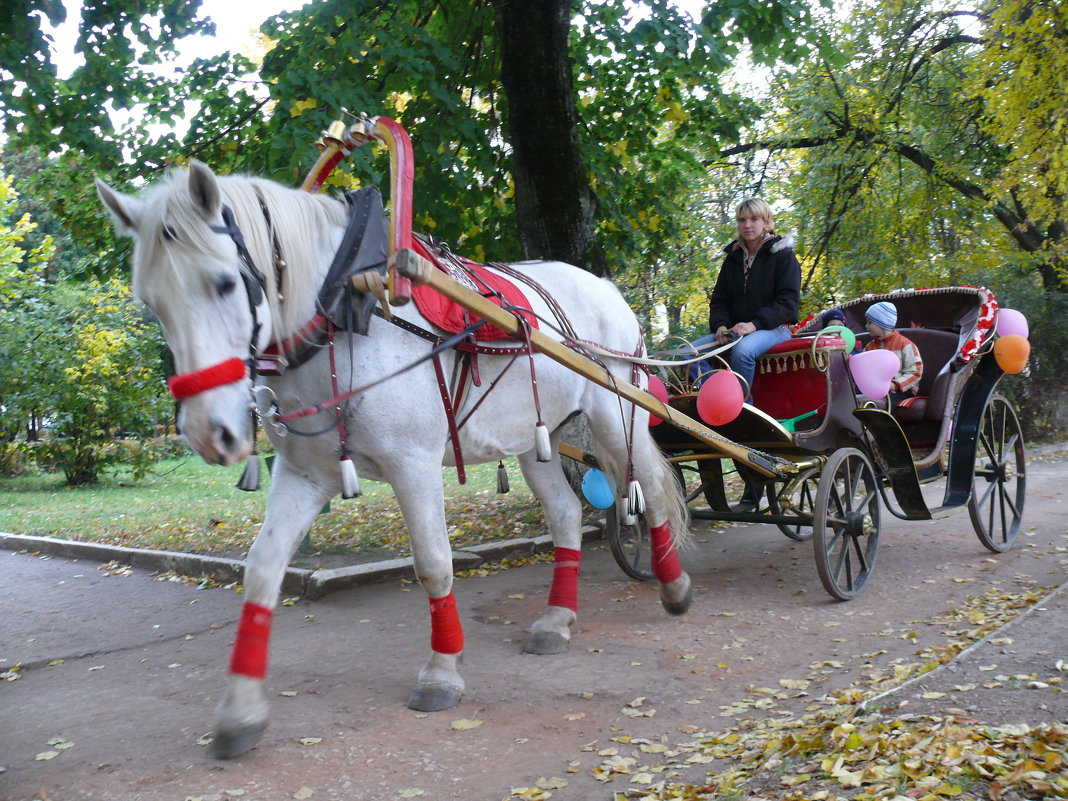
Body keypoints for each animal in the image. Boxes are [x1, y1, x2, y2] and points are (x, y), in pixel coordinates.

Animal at [96, 161, 687, 760]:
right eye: (150, 302)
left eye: (222, 282)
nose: (206, 432)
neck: (346, 311)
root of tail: (606, 287)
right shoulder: (304, 476)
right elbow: (261, 570)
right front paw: (240, 711)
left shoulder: (413, 464)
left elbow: (433, 563)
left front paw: (442, 670)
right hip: (531, 439)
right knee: (566, 513)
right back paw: (556, 619)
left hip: (616, 413)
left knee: (651, 489)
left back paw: (674, 586)